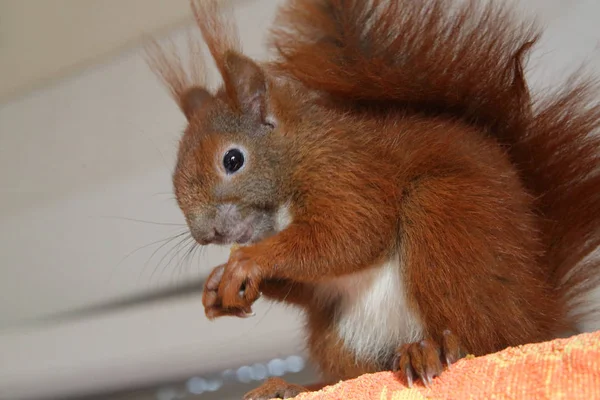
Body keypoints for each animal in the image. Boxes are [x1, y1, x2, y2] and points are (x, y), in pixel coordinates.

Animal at [145, 0, 600, 398]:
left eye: (233, 159)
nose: (206, 234)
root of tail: (541, 313)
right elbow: (310, 280)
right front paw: (216, 283)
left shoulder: (350, 174)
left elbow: (350, 235)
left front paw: (248, 261)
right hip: (339, 334)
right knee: (358, 374)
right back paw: (296, 386)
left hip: (445, 222)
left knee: (484, 337)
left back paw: (436, 350)